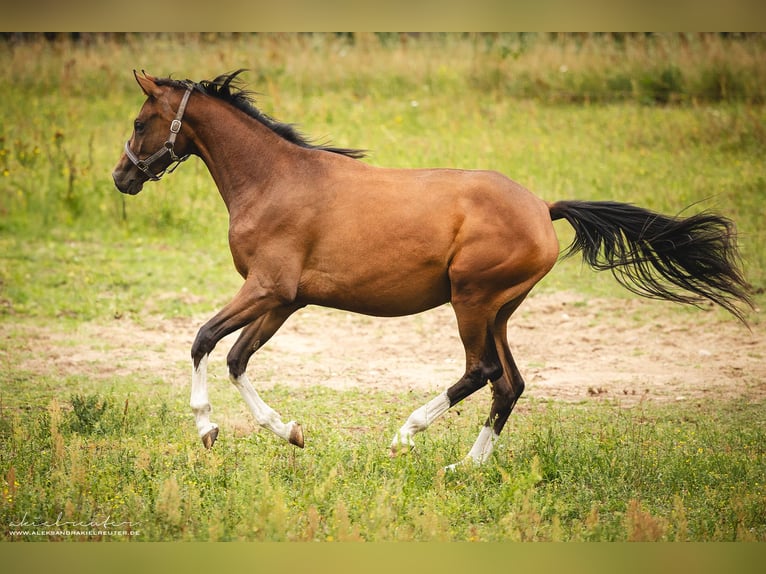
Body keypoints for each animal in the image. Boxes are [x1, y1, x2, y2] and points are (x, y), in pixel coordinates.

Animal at [114, 70, 756, 470]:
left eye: (142, 122)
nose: (121, 177)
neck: (274, 180)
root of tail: (542, 207)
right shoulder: (285, 299)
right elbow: (237, 358)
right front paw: (288, 431)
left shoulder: (267, 288)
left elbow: (203, 340)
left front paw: (206, 429)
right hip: (500, 309)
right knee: (509, 383)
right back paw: (465, 467)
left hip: (471, 300)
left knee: (480, 372)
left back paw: (408, 433)